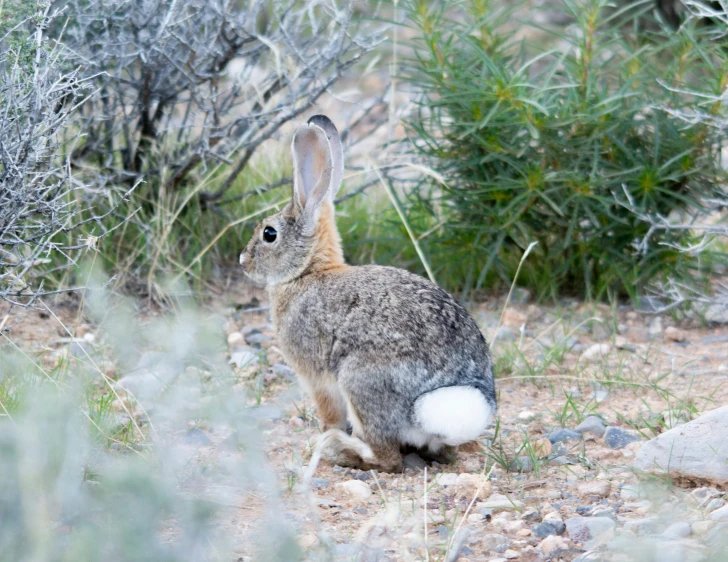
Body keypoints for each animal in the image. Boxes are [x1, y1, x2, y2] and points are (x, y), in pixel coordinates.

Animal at [242, 112, 498, 468]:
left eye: (269, 234)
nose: (243, 261)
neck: (308, 271)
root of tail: (439, 409)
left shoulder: (317, 379)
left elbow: (329, 414)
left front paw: (324, 435)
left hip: (359, 379)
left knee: (386, 457)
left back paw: (338, 448)